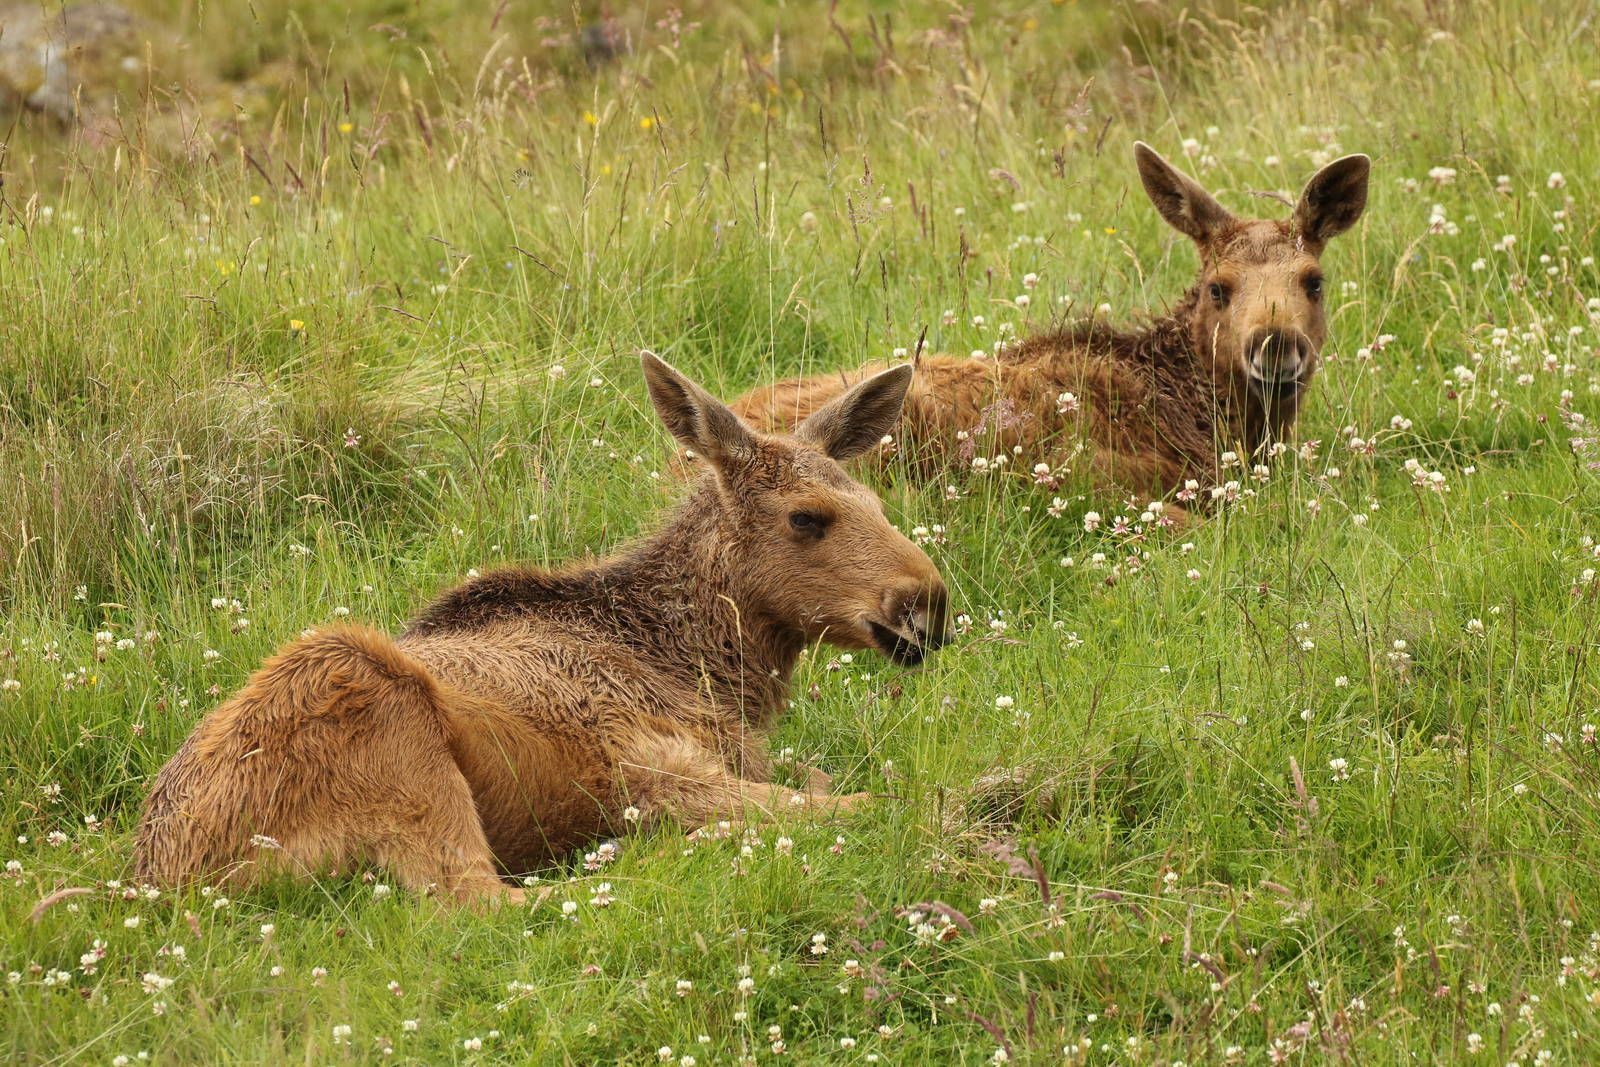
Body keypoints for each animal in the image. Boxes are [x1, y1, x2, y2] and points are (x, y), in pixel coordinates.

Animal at [132, 354, 950, 905]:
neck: (717, 677)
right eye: (808, 517)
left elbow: (824, 780)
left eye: (878, 501)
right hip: (377, 713)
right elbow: (864, 802)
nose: (930, 604)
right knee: (482, 901)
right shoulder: (654, 767)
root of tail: (163, 880)